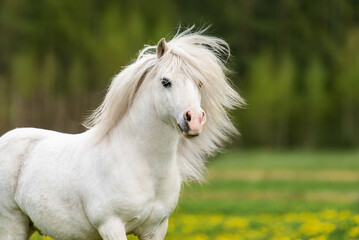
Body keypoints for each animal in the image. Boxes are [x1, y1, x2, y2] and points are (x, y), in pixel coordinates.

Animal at [0, 28, 245, 240]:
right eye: (165, 81)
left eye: (200, 83)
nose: (194, 120)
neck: (141, 164)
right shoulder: (111, 225)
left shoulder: (156, 229)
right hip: (12, 225)